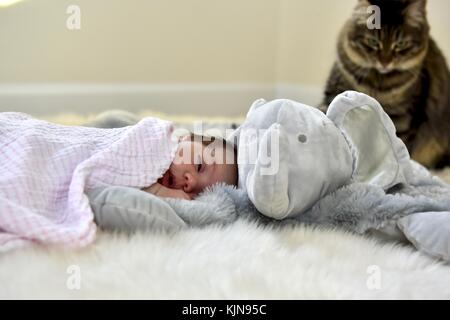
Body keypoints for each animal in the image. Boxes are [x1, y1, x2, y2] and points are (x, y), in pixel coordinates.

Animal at [324, 0, 450, 169]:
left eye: (401, 44)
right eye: (373, 42)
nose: (385, 62)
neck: (378, 85)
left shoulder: (404, 119)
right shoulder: (335, 92)